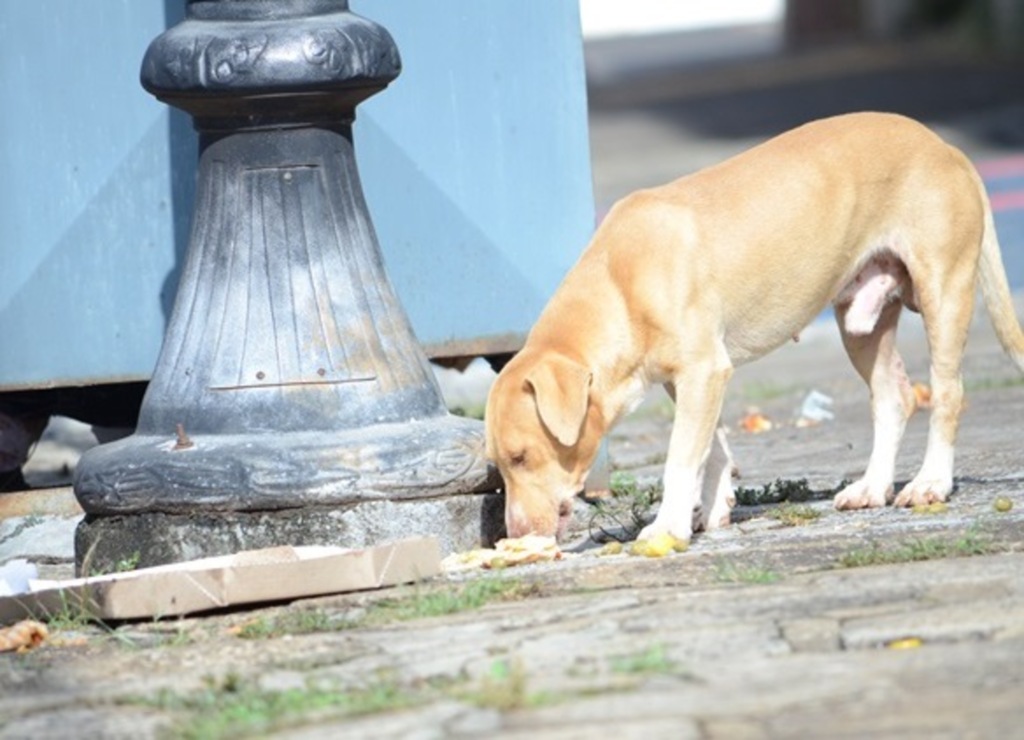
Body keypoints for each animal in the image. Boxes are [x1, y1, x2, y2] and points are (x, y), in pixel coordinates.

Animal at [485, 110, 1024, 540]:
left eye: (521, 457)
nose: (514, 533)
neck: (620, 282)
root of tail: (945, 147)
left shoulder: (702, 370)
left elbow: (681, 456)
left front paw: (668, 526)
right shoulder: (694, 380)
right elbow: (713, 447)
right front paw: (712, 508)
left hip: (944, 290)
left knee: (947, 393)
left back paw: (931, 481)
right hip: (861, 322)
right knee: (895, 396)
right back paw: (872, 487)